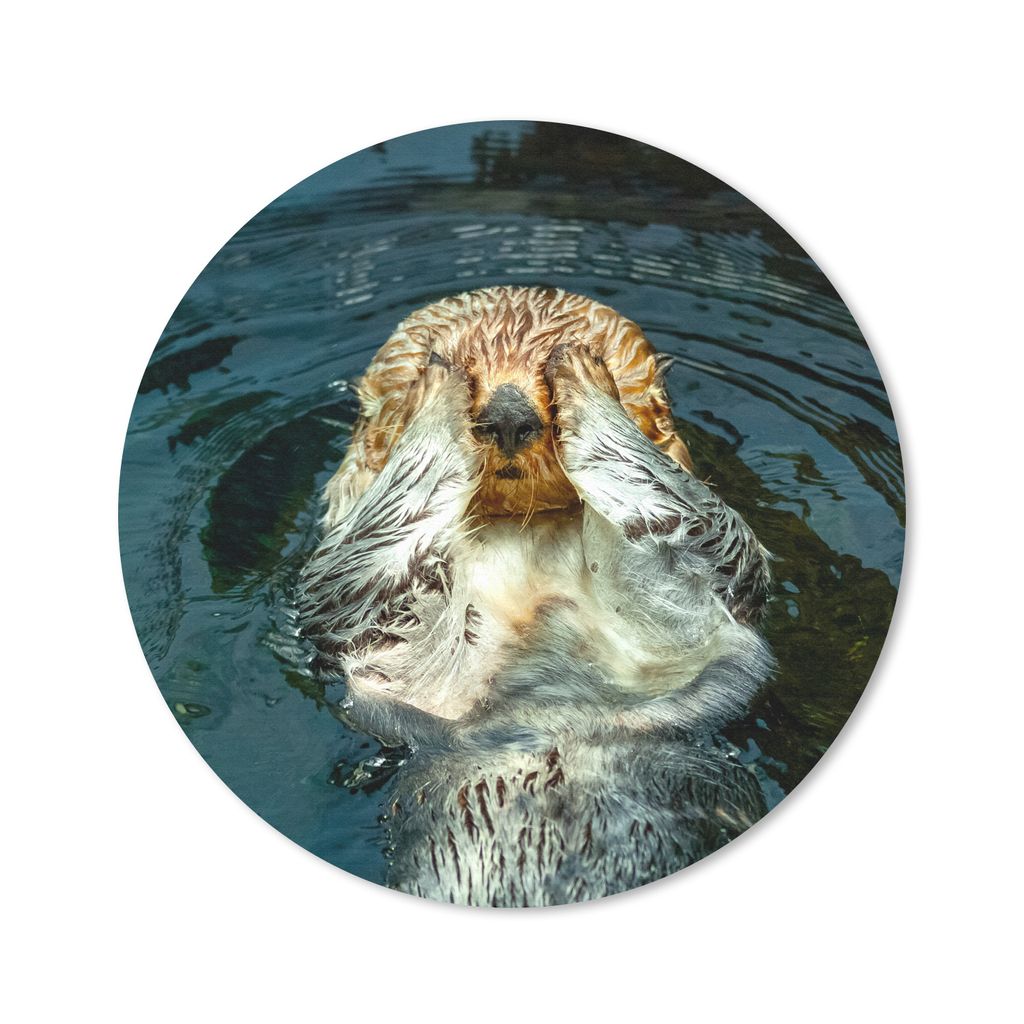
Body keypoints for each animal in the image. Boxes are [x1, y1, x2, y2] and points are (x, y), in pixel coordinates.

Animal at [299, 286, 773, 906]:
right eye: (455, 357)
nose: (508, 414)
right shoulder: (365, 615)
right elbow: (372, 558)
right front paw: (437, 384)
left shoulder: (700, 602)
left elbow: (685, 521)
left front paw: (584, 374)